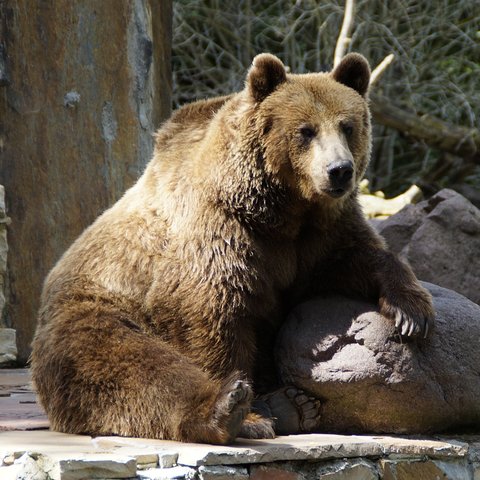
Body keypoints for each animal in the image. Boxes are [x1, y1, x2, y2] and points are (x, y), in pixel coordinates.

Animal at [30, 51, 436, 442]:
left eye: (347, 126)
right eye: (305, 130)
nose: (339, 170)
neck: (283, 209)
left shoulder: (320, 236)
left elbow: (360, 259)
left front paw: (411, 313)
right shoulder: (222, 231)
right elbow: (209, 312)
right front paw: (242, 402)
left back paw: (292, 404)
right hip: (95, 313)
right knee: (130, 364)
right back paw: (228, 410)